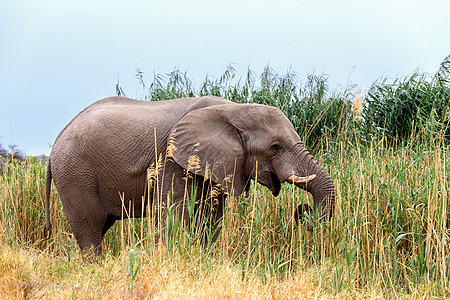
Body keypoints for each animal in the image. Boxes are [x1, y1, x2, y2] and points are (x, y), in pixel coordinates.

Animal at [44, 95, 334, 255]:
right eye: (275, 147)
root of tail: (58, 137)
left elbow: (211, 218)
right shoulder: (173, 158)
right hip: (75, 173)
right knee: (90, 229)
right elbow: (173, 215)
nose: (302, 211)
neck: (233, 109)